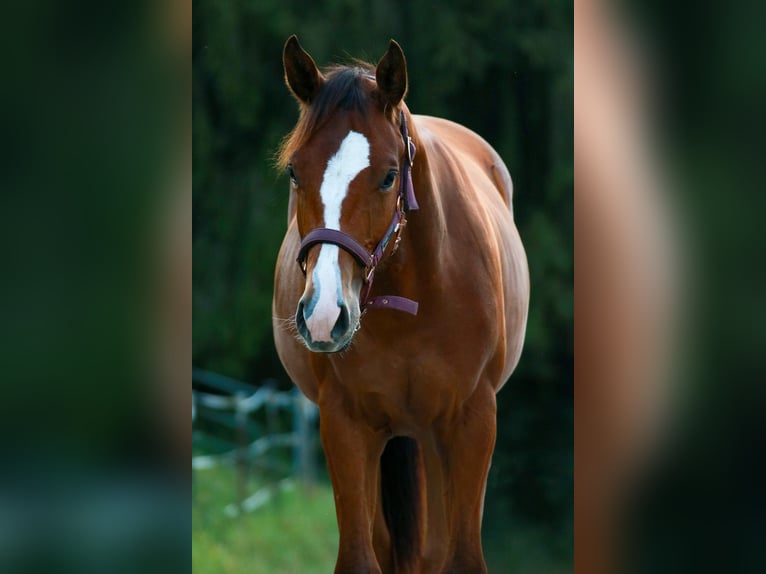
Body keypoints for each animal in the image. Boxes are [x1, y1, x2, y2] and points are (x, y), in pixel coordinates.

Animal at [272, 37, 532, 574]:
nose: (324, 316)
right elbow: (360, 556)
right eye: (294, 172)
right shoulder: (345, 425)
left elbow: (459, 558)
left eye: (389, 175)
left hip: (432, 437)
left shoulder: (472, 422)